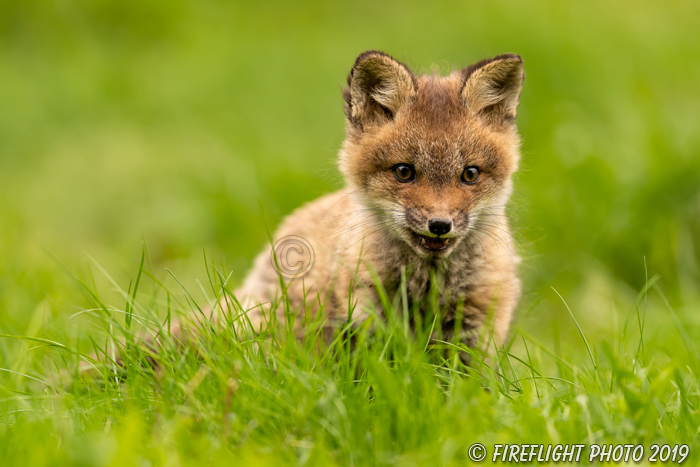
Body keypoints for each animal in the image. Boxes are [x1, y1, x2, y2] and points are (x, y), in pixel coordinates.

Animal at [232, 51, 524, 352]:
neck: (427, 286)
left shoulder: (478, 326)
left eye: (470, 174)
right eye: (404, 171)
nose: (440, 225)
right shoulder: (367, 316)